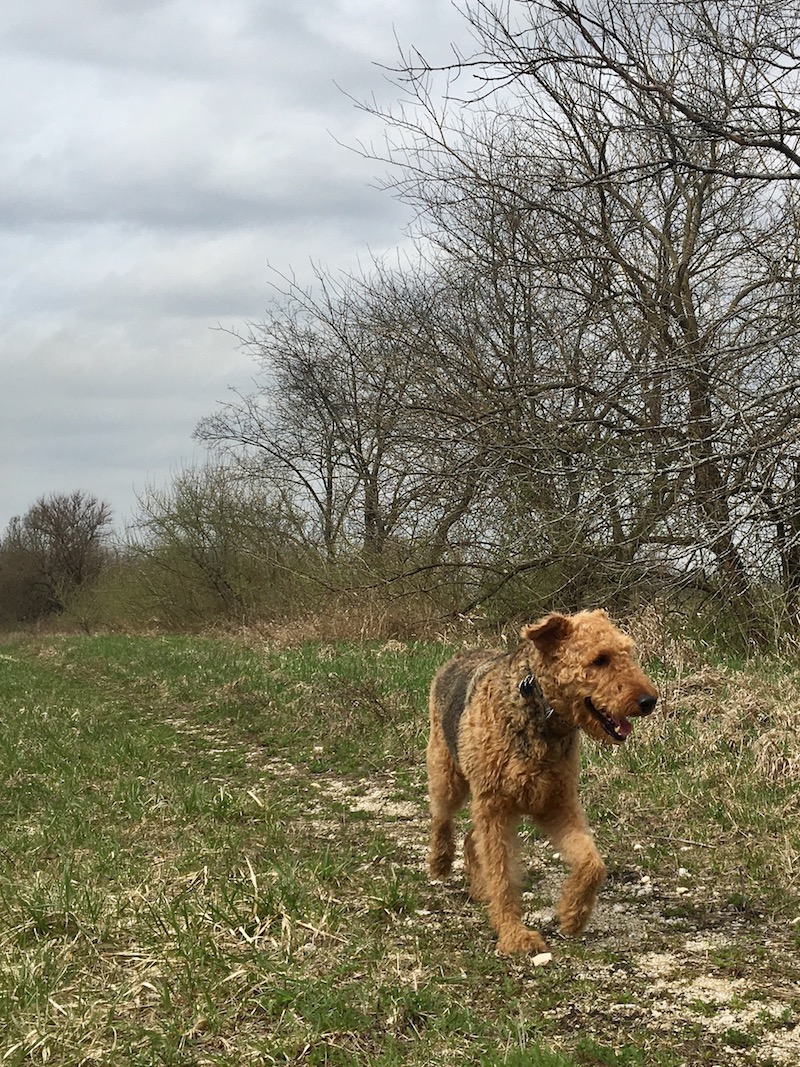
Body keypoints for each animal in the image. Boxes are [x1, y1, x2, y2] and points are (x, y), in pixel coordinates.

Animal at [428, 614, 661, 956]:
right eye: (600, 659)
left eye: (627, 652)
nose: (649, 701)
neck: (544, 717)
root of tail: (459, 655)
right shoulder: (496, 807)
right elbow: (503, 877)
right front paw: (514, 935)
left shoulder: (556, 804)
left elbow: (591, 863)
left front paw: (572, 916)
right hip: (448, 775)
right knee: (442, 818)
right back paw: (440, 862)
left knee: (472, 838)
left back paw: (480, 887)